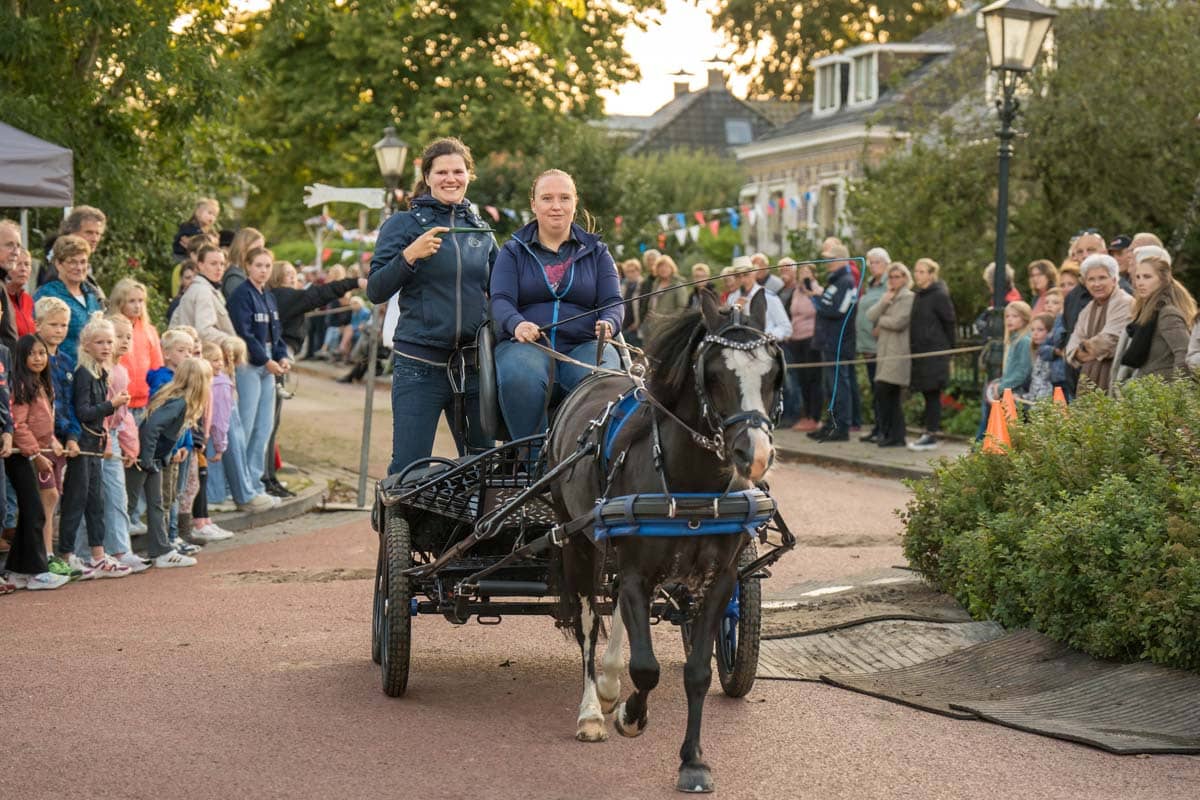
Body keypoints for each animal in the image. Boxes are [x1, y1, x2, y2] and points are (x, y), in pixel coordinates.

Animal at [547, 291, 787, 791]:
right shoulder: (638, 572)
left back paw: (608, 688)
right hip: (577, 542)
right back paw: (591, 711)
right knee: (587, 619)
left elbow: (696, 672)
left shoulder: (719, 580)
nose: (754, 455)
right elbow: (646, 667)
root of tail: (593, 376)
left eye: (773, 375)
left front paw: (693, 761)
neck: (691, 484)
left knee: (615, 608)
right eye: (713, 375)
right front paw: (629, 715)